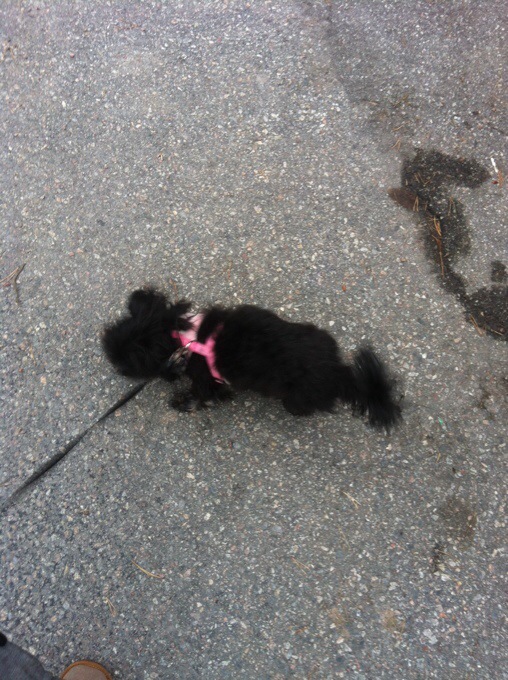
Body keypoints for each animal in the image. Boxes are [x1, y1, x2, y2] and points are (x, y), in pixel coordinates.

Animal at [102, 288, 402, 429]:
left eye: (130, 360)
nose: (113, 363)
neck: (186, 335)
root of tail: (339, 372)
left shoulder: (204, 380)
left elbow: (200, 396)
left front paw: (182, 402)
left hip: (296, 398)